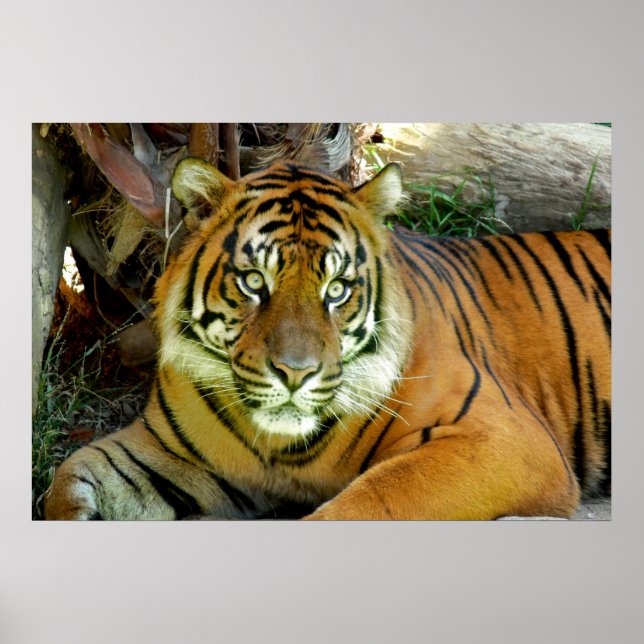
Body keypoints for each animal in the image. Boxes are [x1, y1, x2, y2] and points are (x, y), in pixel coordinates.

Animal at [44, 158, 611, 520]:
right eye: (255, 281)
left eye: (336, 289)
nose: (295, 374)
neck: (280, 448)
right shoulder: (165, 448)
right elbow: (67, 481)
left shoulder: (504, 439)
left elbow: (371, 501)